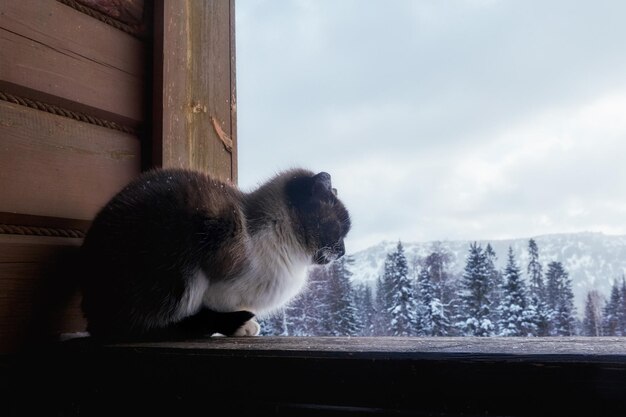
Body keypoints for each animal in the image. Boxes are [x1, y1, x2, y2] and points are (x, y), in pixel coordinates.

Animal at [78, 167, 348, 340]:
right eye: (340, 230)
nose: (343, 252)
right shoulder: (216, 287)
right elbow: (212, 312)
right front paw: (242, 326)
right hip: (179, 271)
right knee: (143, 328)